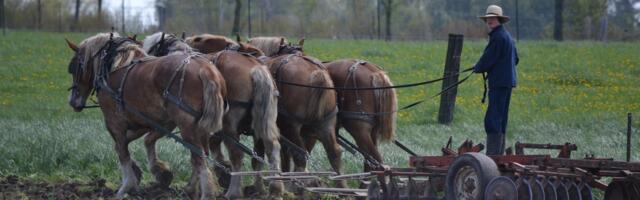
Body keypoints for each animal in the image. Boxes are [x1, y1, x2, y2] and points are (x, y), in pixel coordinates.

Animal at [66, 32, 226, 198]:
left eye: (73, 68)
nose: (73, 101)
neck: (115, 66)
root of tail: (205, 70)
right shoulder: (151, 122)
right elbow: (135, 143)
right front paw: (157, 172)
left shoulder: (114, 122)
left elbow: (122, 152)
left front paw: (125, 187)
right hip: (200, 128)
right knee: (202, 156)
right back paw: (192, 188)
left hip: (187, 127)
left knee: (200, 160)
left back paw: (205, 192)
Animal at [146, 33, 284, 198]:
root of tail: (255, 68)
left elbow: (197, 154)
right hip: (264, 122)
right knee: (271, 148)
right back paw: (271, 189)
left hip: (230, 126)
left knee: (237, 154)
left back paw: (233, 192)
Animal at [248, 37, 344, 188]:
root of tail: (317, 74)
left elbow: (261, 156)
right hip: (326, 123)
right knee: (334, 153)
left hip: (291, 126)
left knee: (300, 155)